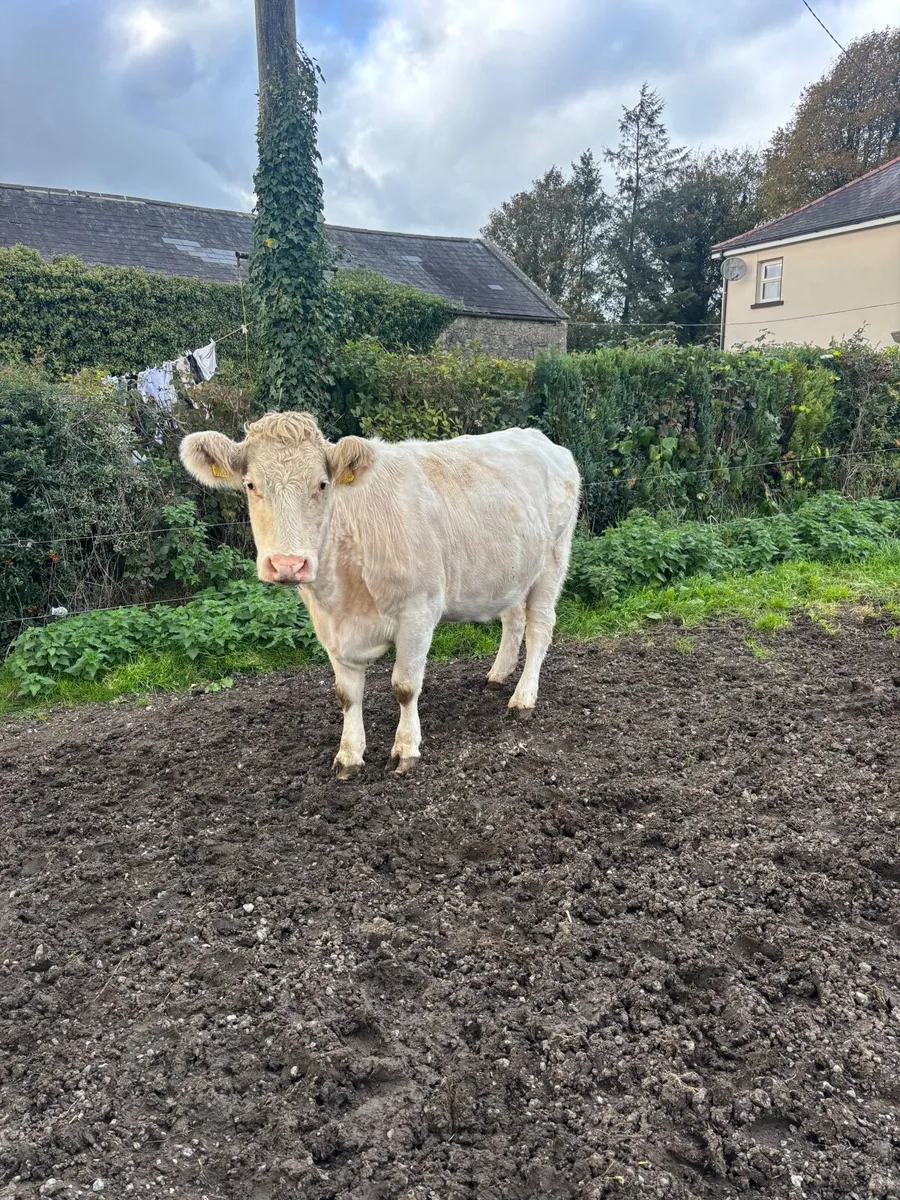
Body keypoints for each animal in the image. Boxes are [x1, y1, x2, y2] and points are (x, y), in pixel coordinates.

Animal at [180, 412, 580, 778]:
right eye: (250, 484)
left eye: (322, 484)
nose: (288, 564)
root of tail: (540, 439)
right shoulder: (330, 627)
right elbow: (346, 695)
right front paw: (349, 754)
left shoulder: (418, 610)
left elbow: (404, 686)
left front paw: (405, 749)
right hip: (512, 571)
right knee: (513, 618)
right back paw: (497, 675)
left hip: (552, 559)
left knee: (539, 628)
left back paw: (523, 699)